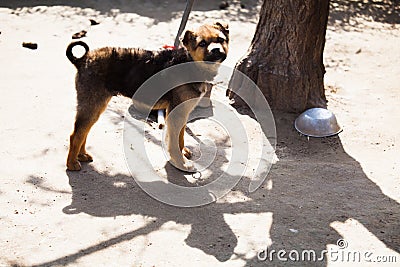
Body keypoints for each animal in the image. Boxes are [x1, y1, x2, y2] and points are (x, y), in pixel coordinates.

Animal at [65, 23, 228, 174]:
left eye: (221, 39)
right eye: (202, 43)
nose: (216, 50)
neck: (190, 62)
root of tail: (82, 59)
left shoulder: (182, 111)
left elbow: (180, 137)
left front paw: (182, 153)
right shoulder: (177, 113)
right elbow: (174, 141)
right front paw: (181, 163)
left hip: (97, 106)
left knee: (84, 131)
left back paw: (82, 155)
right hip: (92, 104)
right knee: (76, 134)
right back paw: (72, 163)